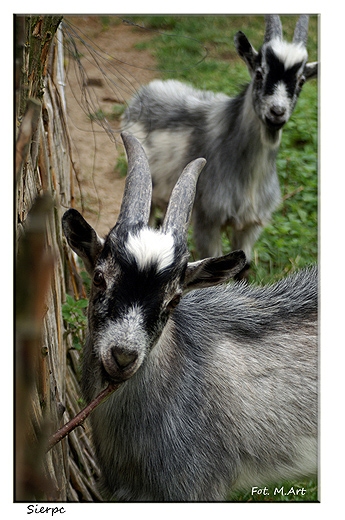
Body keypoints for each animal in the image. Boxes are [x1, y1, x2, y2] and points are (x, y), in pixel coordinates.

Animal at [121, 14, 318, 278]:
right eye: (259, 73)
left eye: (301, 81)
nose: (277, 112)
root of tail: (147, 90)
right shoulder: (208, 220)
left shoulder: (249, 226)